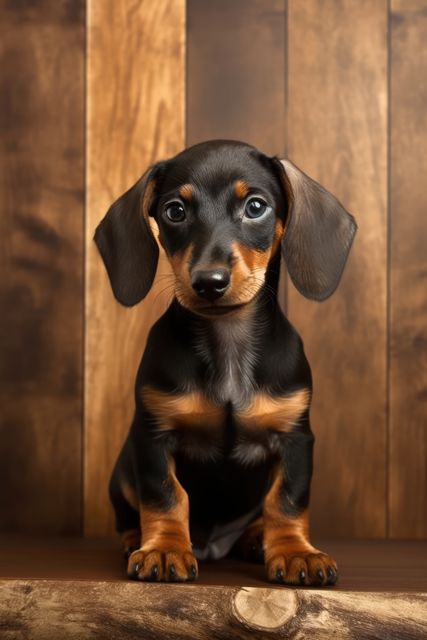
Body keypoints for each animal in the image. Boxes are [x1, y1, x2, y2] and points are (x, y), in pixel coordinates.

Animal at [94, 140, 358, 584]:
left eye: (256, 206)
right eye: (175, 211)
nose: (209, 282)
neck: (228, 341)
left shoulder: (296, 438)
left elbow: (286, 500)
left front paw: (295, 552)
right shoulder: (152, 436)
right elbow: (165, 495)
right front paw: (165, 548)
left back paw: (255, 539)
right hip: (123, 472)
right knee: (128, 513)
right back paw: (136, 538)